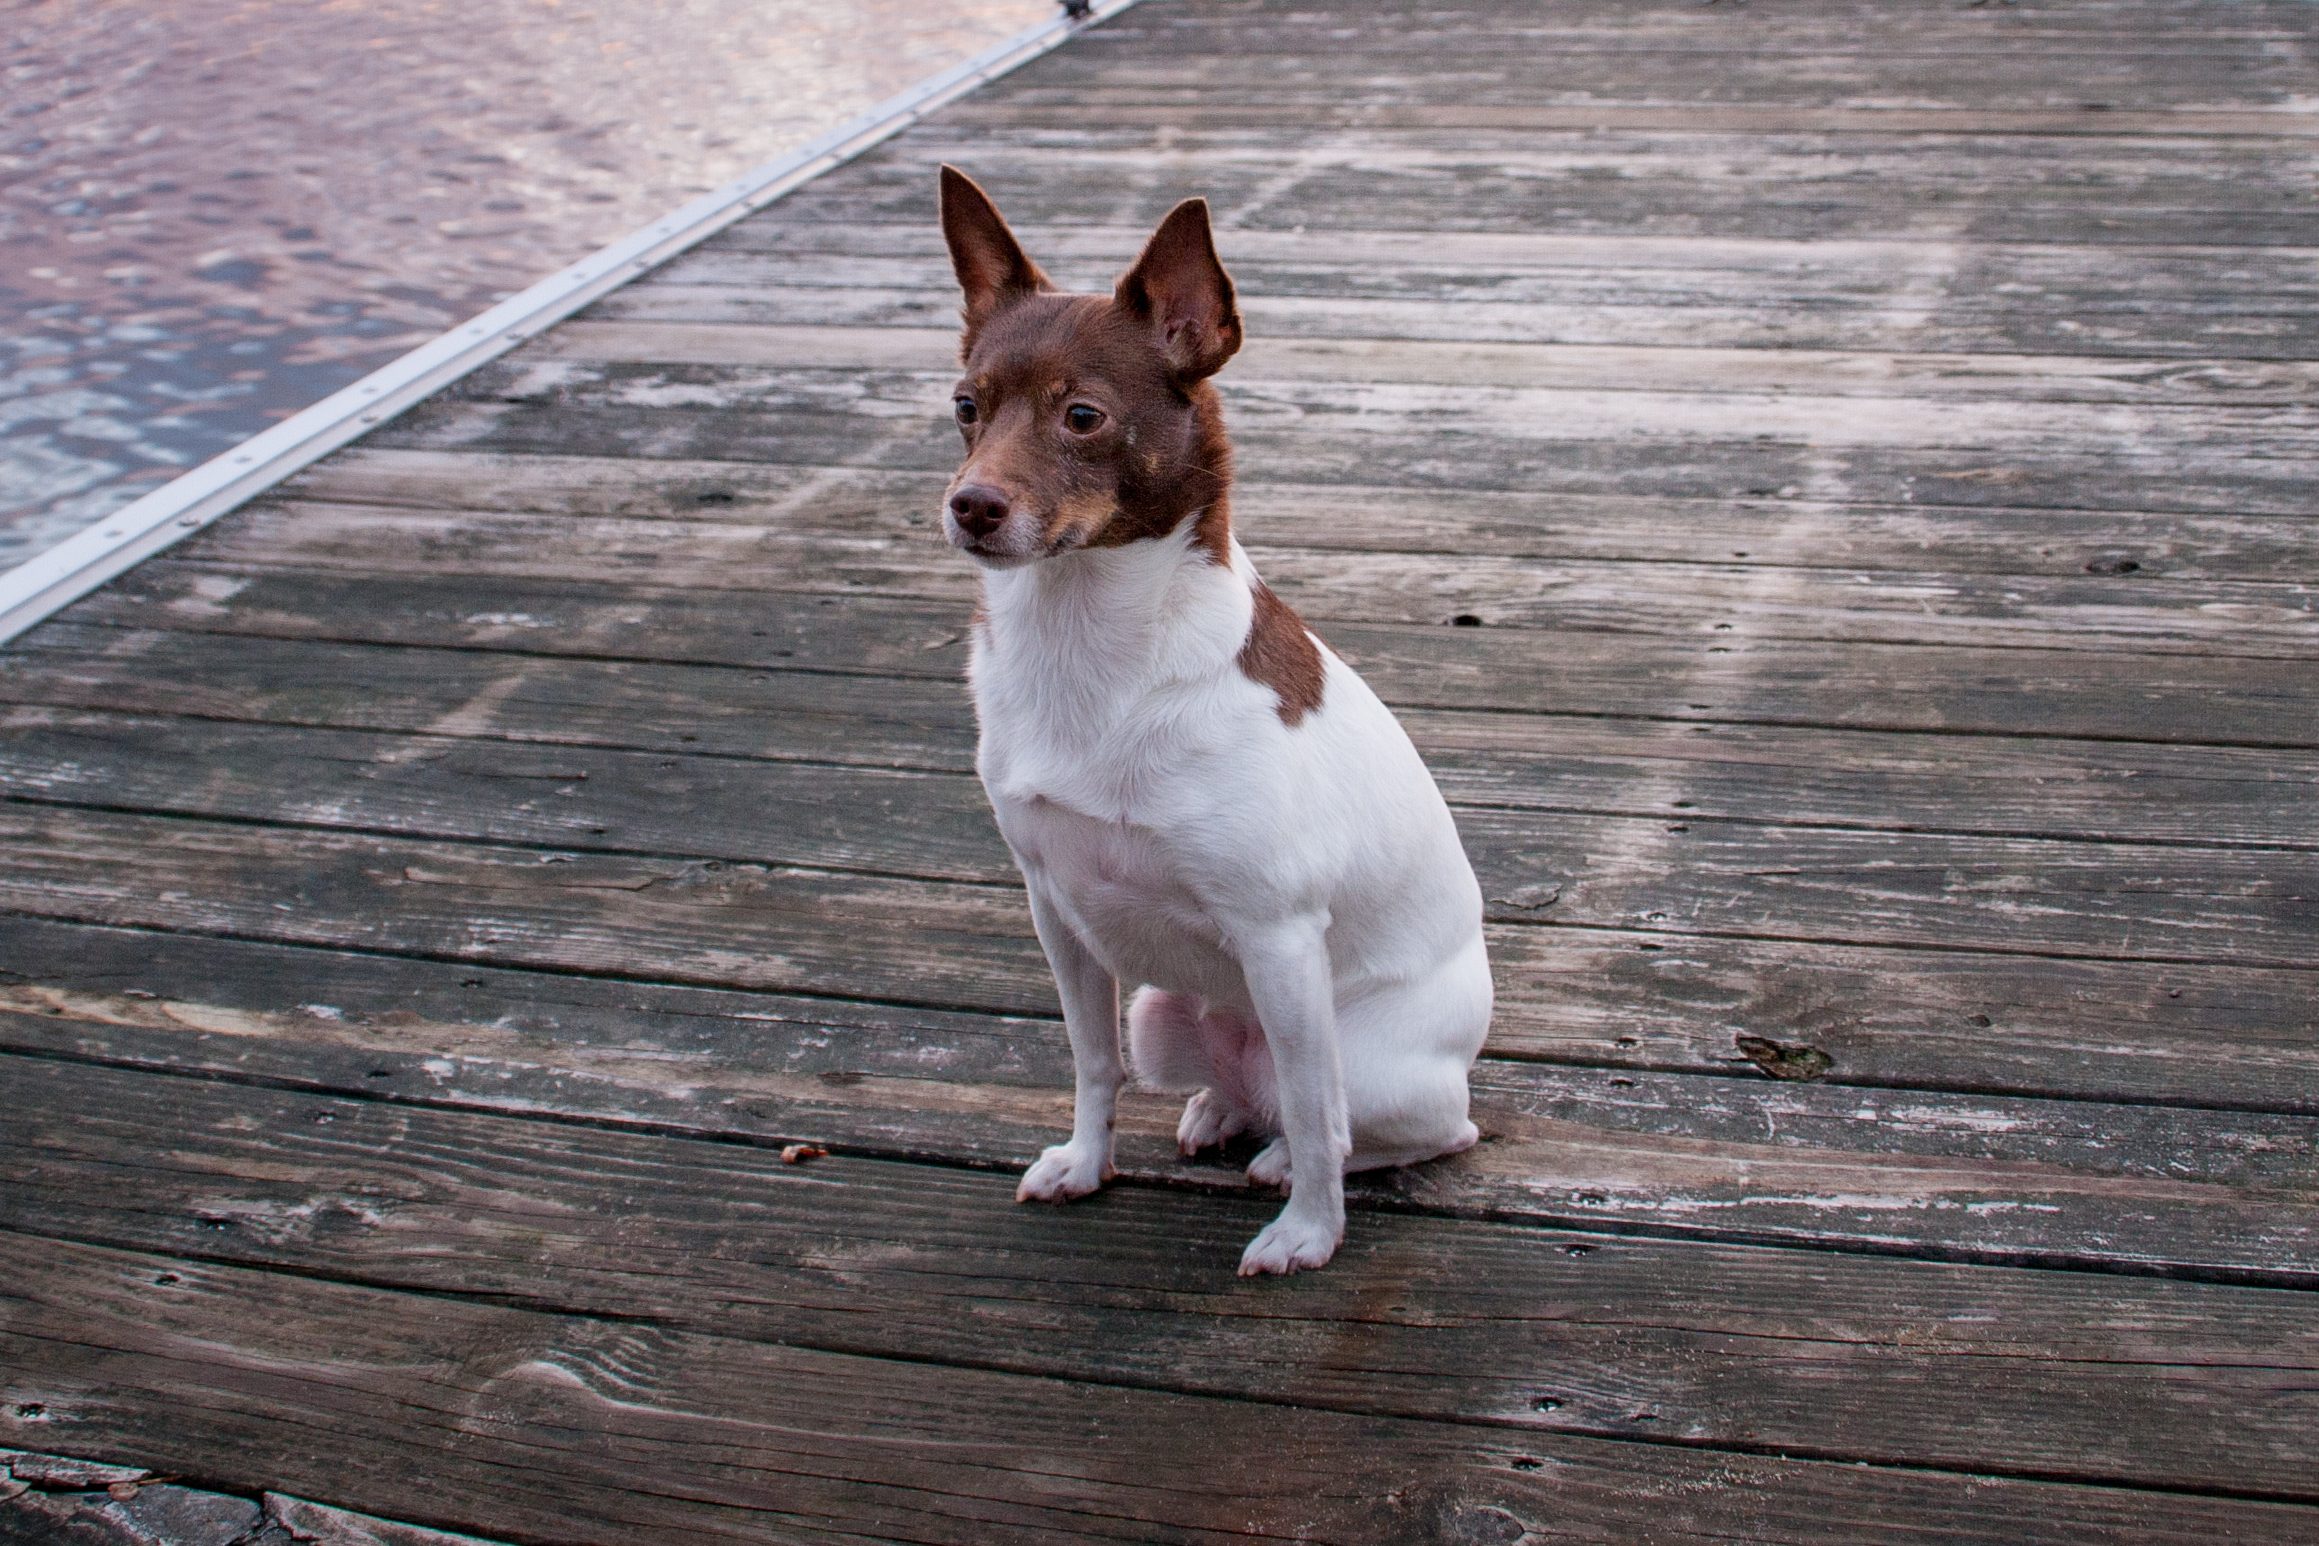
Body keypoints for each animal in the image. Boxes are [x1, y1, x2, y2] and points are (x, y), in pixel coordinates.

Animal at [936, 169, 1493, 1279]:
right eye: (965, 406)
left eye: (1083, 416)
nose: (970, 505)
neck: (1085, 642)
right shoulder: (1055, 910)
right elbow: (1091, 1061)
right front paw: (1085, 1164)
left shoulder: (1279, 937)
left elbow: (1319, 1117)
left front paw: (1308, 1235)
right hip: (1163, 1011)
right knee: (1244, 1091)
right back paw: (1215, 1111)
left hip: (1362, 1051)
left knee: (1371, 1121)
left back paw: (1284, 1165)